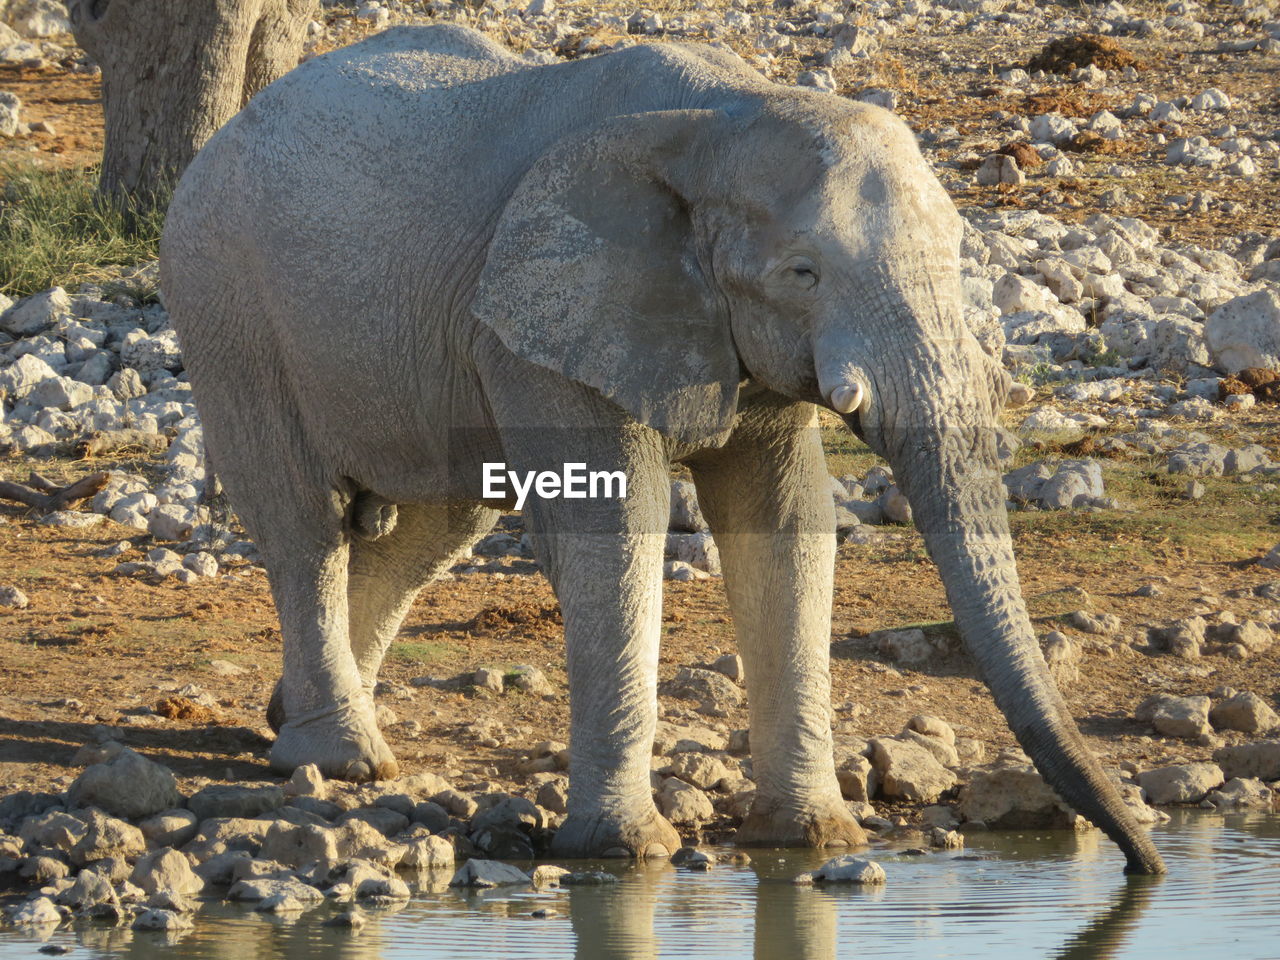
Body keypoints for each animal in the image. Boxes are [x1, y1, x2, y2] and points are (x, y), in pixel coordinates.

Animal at [157, 22, 1162, 870]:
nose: (1144, 866)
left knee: (437, 525)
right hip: (224, 302)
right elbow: (618, 527)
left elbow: (786, 522)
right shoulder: (546, 324)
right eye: (803, 273)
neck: (722, 117)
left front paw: (811, 840)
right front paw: (623, 852)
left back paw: (295, 722)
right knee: (302, 521)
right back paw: (343, 761)